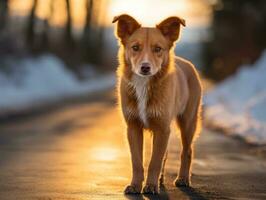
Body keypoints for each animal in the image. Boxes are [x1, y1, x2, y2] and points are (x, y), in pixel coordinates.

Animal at [112, 13, 202, 194]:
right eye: (135, 47)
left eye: (158, 49)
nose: (145, 67)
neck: (144, 85)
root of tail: (188, 64)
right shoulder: (133, 127)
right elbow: (137, 161)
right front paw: (135, 185)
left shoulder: (162, 128)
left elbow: (154, 161)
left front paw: (151, 186)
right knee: (166, 154)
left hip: (188, 122)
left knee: (187, 151)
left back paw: (183, 179)